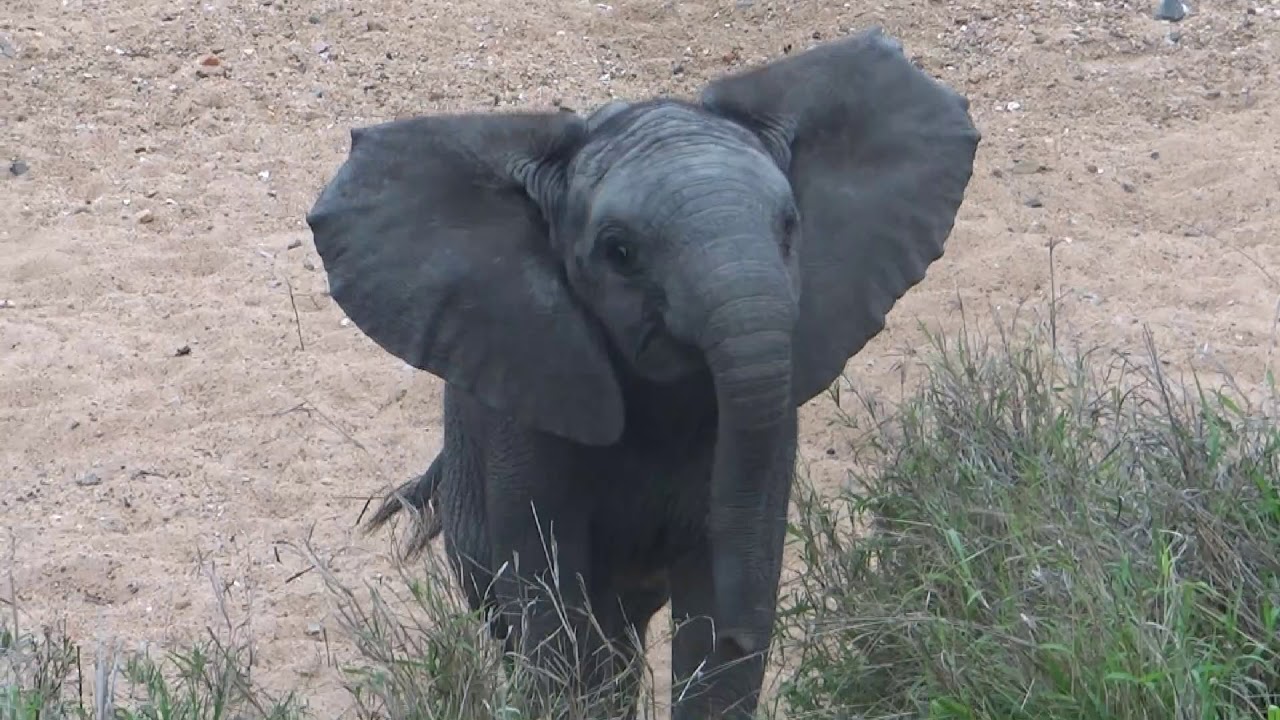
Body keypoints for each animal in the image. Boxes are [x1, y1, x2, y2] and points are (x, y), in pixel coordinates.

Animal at [308, 27, 980, 720]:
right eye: (620, 253)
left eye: (790, 227)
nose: (746, 632)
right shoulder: (529, 405)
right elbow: (550, 613)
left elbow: (715, 614)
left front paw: (725, 634)